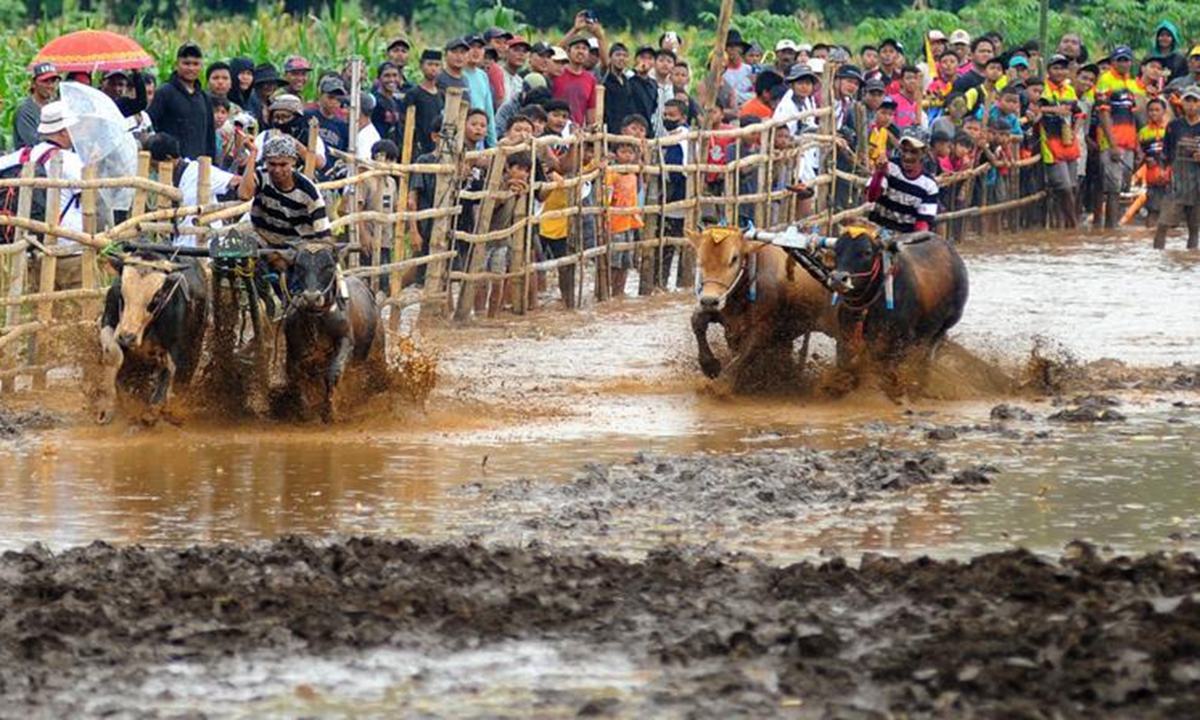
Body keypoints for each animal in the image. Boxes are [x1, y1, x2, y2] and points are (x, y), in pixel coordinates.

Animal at [96, 252, 208, 424]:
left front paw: (153, 410)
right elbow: (114, 354)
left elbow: (168, 369)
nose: (127, 337)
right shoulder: (108, 321)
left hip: (196, 341)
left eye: (156, 297)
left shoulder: (175, 345)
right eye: (122, 292)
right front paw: (106, 407)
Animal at [270, 243, 379, 422]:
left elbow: (333, 374)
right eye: (299, 267)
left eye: (328, 266)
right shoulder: (294, 350)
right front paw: (305, 412)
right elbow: (296, 379)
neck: (318, 318)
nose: (311, 298)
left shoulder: (345, 342)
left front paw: (329, 412)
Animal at [686, 226, 837, 390]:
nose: (709, 300)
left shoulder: (762, 328)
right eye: (700, 259)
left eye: (734, 258)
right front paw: (710, 365)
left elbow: (740, 361)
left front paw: (720, 387)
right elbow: (697, 321)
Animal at [826, 226, 968, 394]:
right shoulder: (847, 331)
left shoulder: (902, 340)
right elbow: (846, 362)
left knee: (929, 352)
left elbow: (890, 370)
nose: (838, 278)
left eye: (867, 252)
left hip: (944, 326)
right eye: (837, 250)